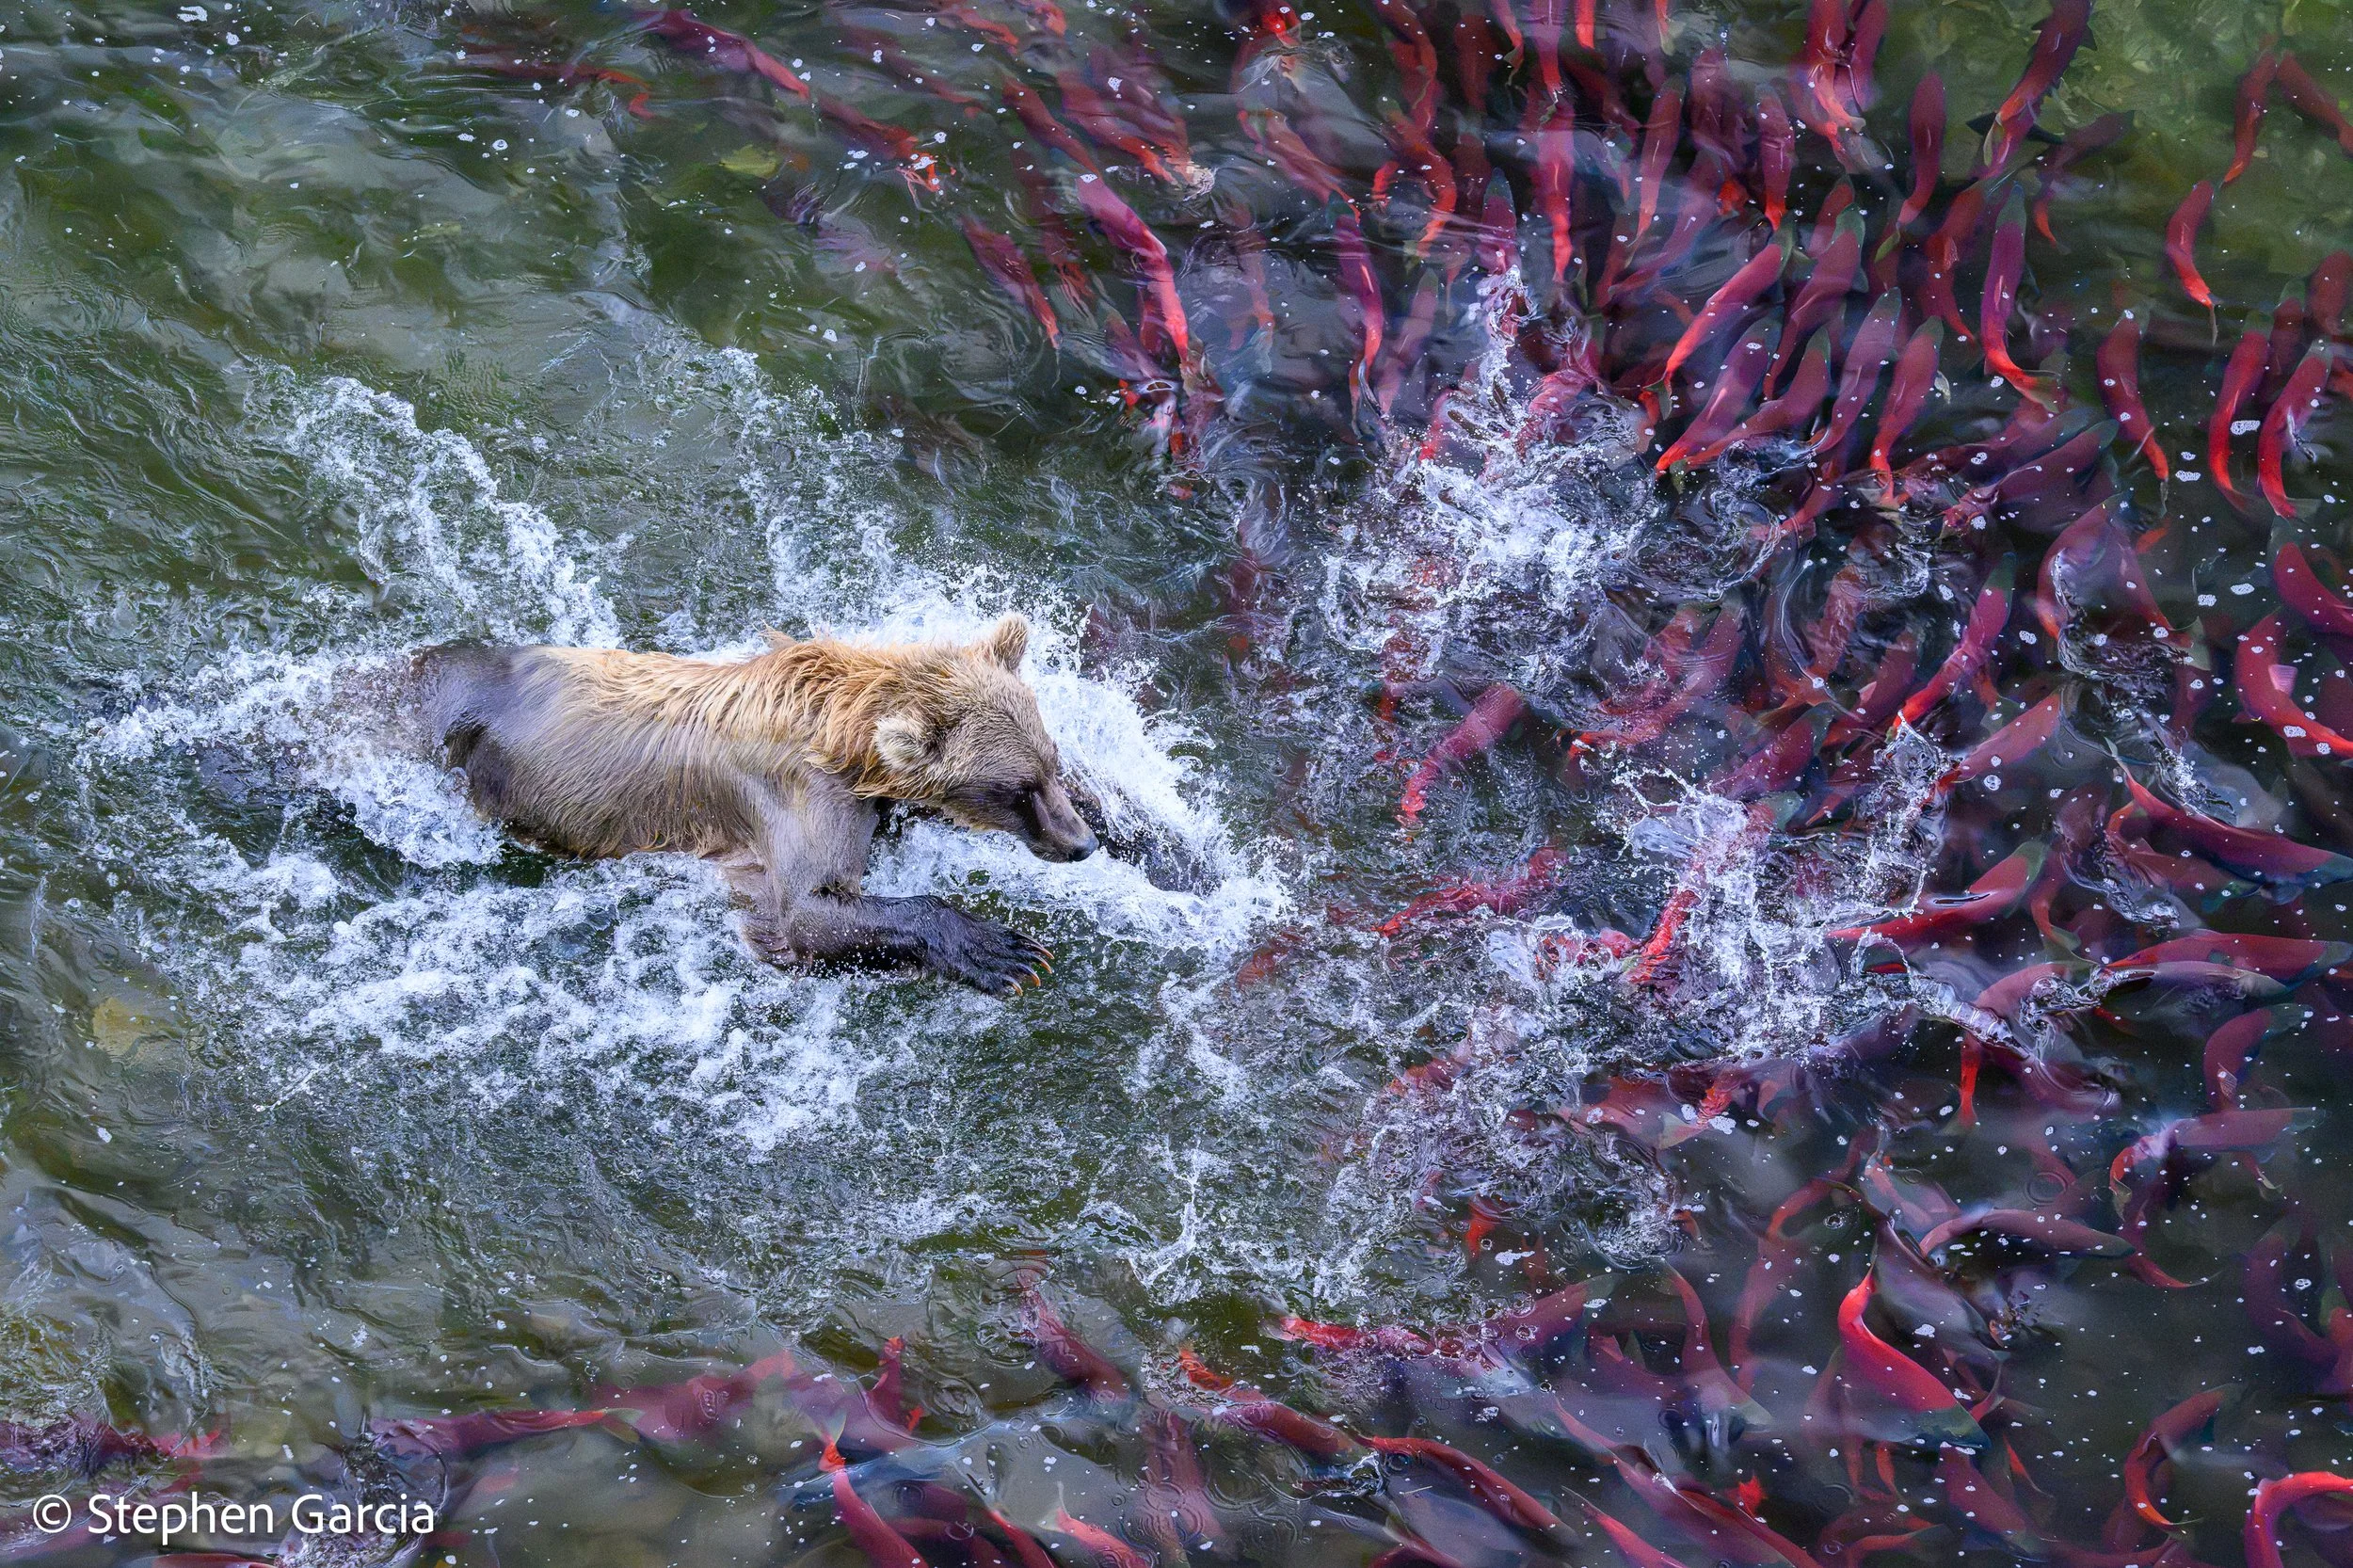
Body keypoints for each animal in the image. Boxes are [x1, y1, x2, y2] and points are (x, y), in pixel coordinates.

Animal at [410, 614, 1094, 995]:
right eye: (1017, 789)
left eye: (1051, 762)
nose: (1079, 843)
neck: (844, 740)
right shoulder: (790, 795)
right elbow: (805, 909)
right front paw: (1006, 952)